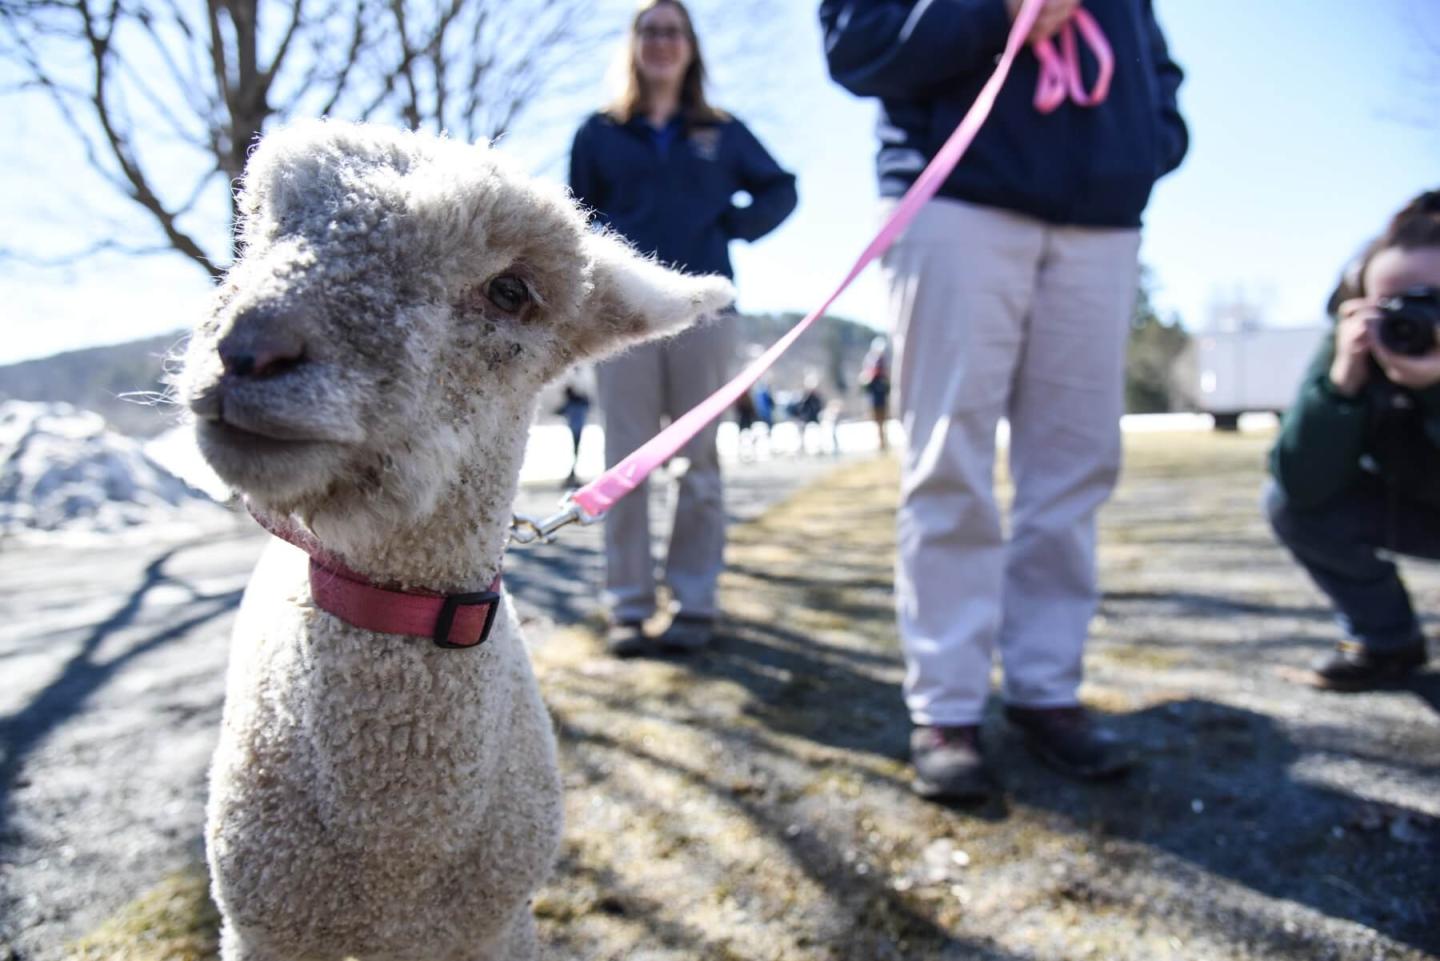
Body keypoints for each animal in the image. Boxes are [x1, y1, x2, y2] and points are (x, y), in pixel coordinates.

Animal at [176, 119, 733, 961]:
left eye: (511, 290)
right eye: (265, 229)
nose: (248, 346)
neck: (398, 853)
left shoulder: (498, 922)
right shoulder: (260, 924)